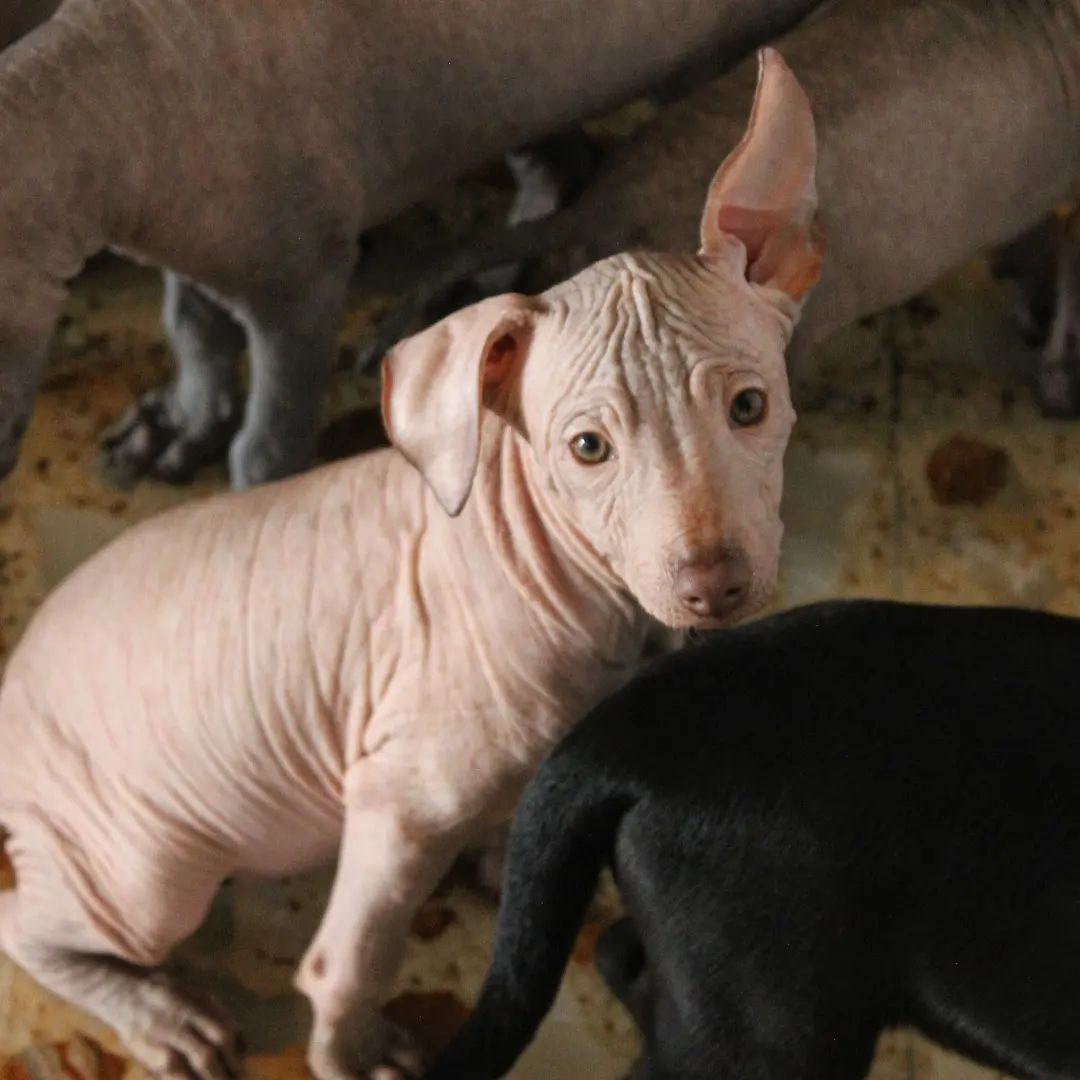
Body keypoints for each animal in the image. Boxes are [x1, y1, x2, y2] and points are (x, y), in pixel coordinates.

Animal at [0, 48, 816, 1080]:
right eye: (587, 449)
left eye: (750, 407)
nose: (712, 583)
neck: (571, 588)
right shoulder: (403, 804)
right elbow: (350, 964)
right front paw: (355, 1054)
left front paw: (504, 861)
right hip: (145, 865)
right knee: (32, 922)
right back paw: (156, 1013)